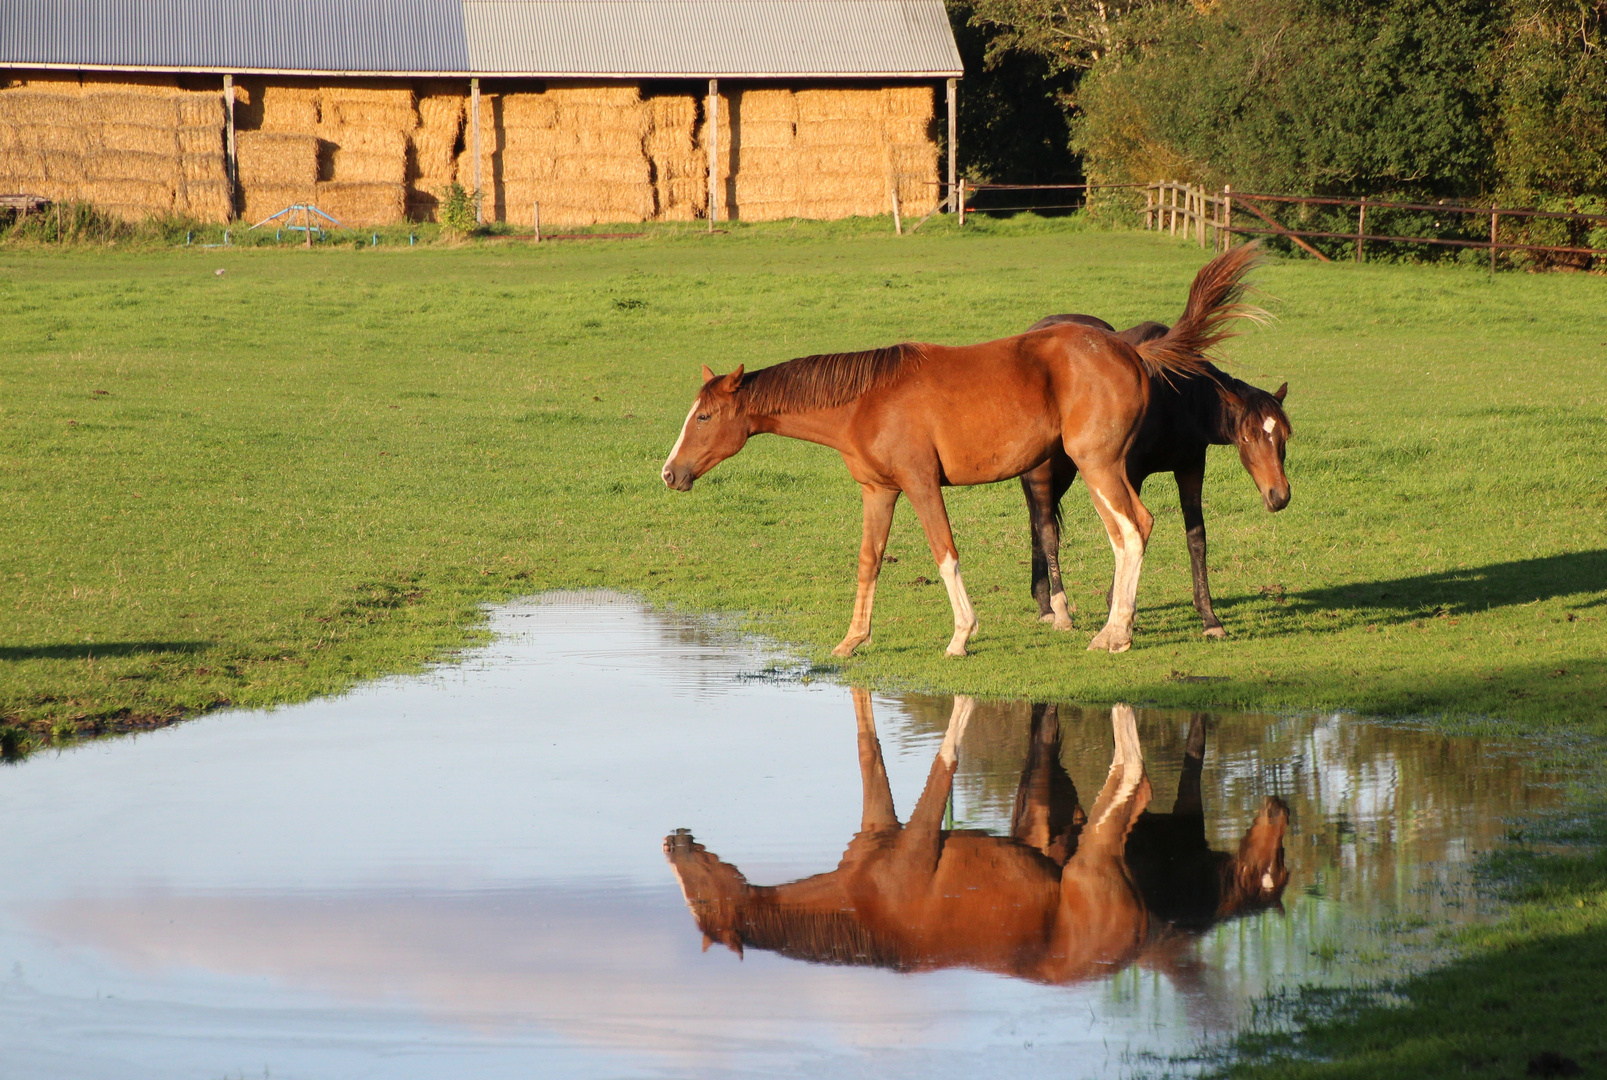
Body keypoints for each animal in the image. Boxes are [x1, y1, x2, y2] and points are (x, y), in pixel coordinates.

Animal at [658, 244, 1259, 652]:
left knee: (1130, 533)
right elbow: (869, 561)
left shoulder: (921, 484)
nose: (669, 473)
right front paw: (853, 640)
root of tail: (1133, 352)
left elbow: (944, 554)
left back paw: (1113, 635)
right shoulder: (879, 491)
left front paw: (961, 636)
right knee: (1137, 529)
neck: (866, 399)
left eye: (704, 417)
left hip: (1099, 468)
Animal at [665, 697, 1292, 983]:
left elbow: (944, 761)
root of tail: (1143, 934)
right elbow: (869, 748)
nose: (673, 843)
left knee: (1135, 778)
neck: (866, 907)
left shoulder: (919, 836)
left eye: (702, 902)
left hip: (1093, 858)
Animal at [1015, 315, 1292, 633]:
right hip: (1044, 472)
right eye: (1247, 437)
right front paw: (1117, 608)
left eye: (1285, 436)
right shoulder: (1130, 473)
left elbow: (1196, 538)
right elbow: (1129, 532)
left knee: (1038, 524)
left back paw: (1043, 601)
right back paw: (1054, 609)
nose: (1279, 495)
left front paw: (1209, 618)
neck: (1174, 395)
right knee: (1048, 530)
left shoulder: (1190, 468)